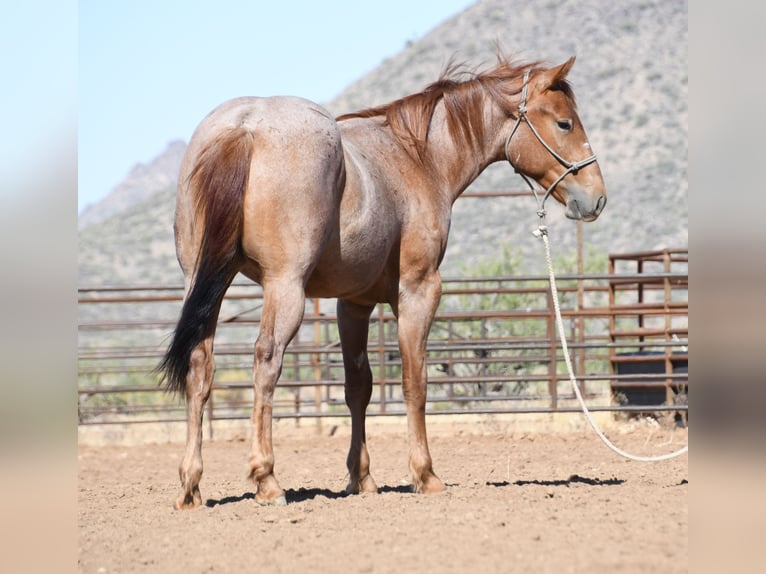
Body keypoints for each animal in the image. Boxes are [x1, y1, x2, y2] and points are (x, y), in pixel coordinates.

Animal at [158, 54, 606, 509]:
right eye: (565, 123)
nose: (596, 198)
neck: (417, 158)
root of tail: (245, 126)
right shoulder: (419, 292)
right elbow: (414, 382)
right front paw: (425, 474)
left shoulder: (353, 304)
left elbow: (359, 386)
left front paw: (362, 478)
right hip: (284, 287)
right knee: (266, 361)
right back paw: (266, 479)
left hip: (206, 282)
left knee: (200, 365)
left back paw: (190, 484)